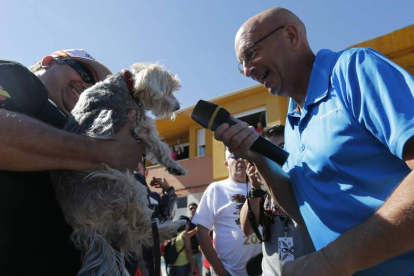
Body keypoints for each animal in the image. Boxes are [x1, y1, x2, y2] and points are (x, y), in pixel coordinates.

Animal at [50, 63, 188, 276]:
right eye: (169, 88)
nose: (178, 107)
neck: (125, 84)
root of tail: (84, 227)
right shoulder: (140, 124)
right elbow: (159, 145)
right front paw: (175, 165)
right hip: (125, 186)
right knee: (140, 233)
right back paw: (172, 227)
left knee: (129, 237)